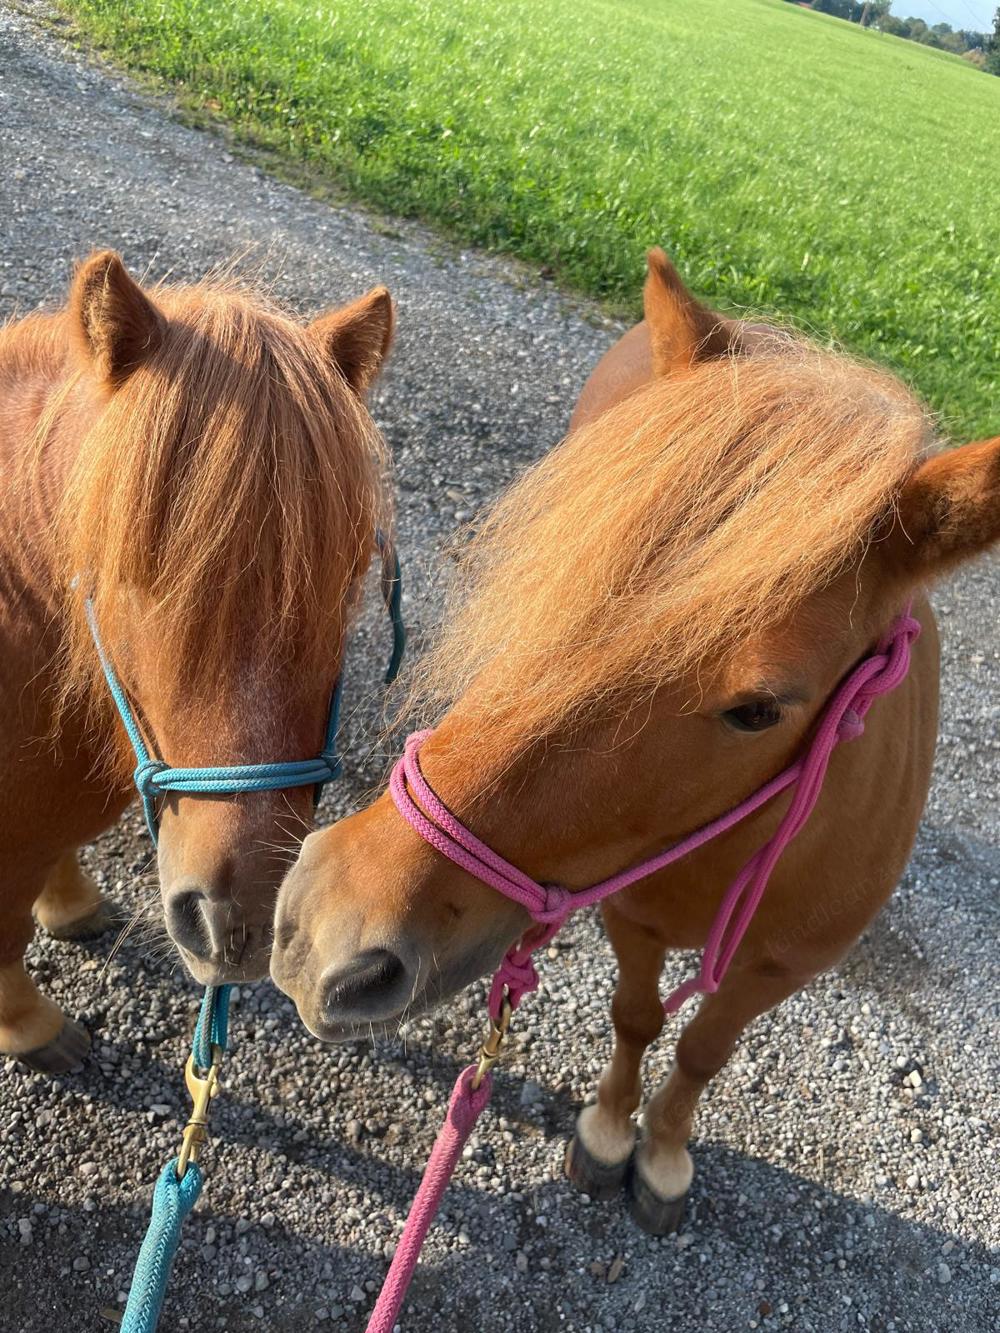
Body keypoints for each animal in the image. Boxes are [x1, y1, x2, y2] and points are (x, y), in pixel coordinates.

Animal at [272, 254, 1000, 1231]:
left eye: (759, 708)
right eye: (550, 575)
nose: (327, 925)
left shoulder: (777, 967)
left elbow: (700, 1051)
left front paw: (661, 1153)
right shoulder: (632, 917)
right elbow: (636, 1018)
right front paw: (613, 1133)